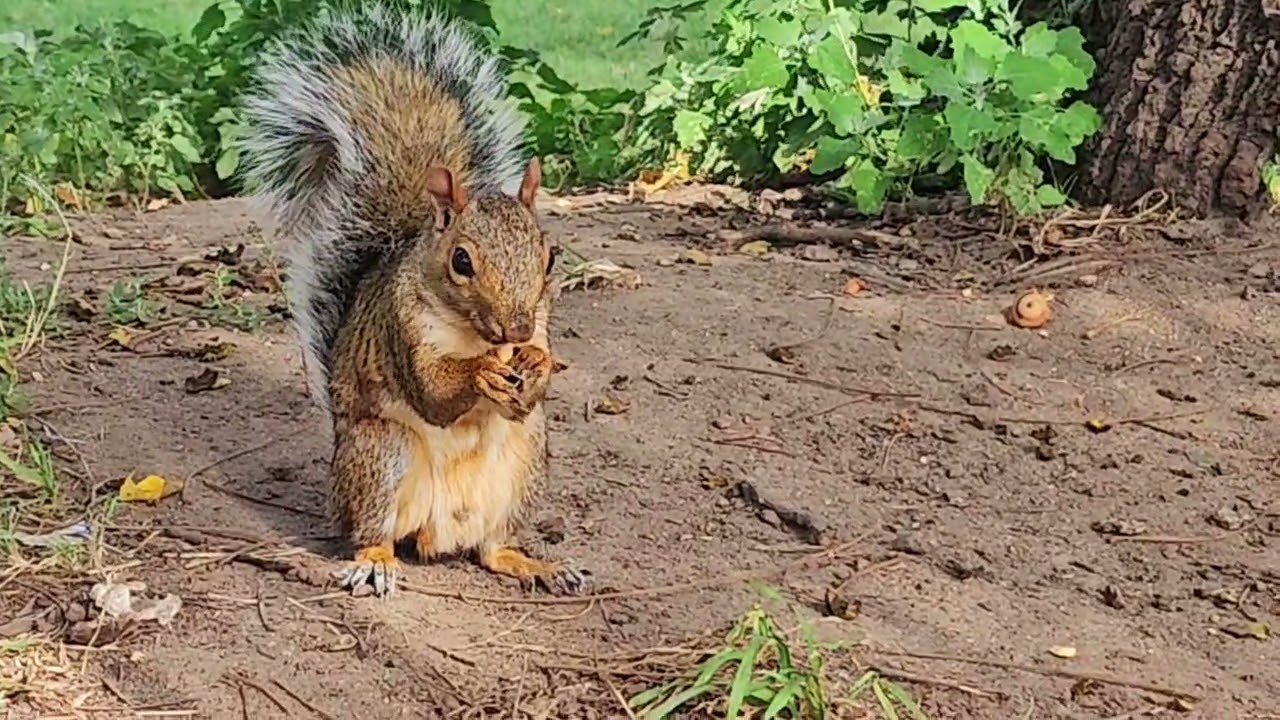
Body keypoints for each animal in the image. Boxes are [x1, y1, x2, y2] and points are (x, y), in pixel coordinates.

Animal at [237, 2, 587, 598]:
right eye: (462, 261)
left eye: (550, 257)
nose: (516, 331)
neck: (472, 332)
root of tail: (439, 533)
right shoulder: (402, 329)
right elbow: (433, 393)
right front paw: (479, 375)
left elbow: (530, 389)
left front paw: (536, 366)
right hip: (381, 455)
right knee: (371, 532)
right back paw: (376, 562)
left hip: (526, 462)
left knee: (493, 550)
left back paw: (538, 565)